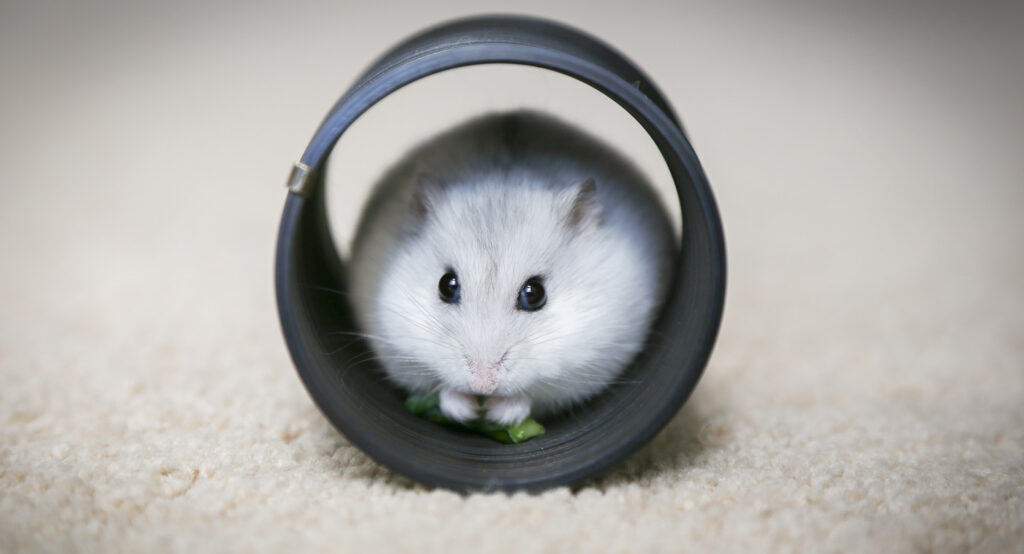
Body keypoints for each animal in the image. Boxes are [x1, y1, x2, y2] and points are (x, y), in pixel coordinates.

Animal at [347, 110, 675, 426]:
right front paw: (466, 411)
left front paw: (499, 414)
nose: (482, 384)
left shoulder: (591, 361)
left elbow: (533, 395)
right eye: (446, 285)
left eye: (534, 294)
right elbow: (441, 389)